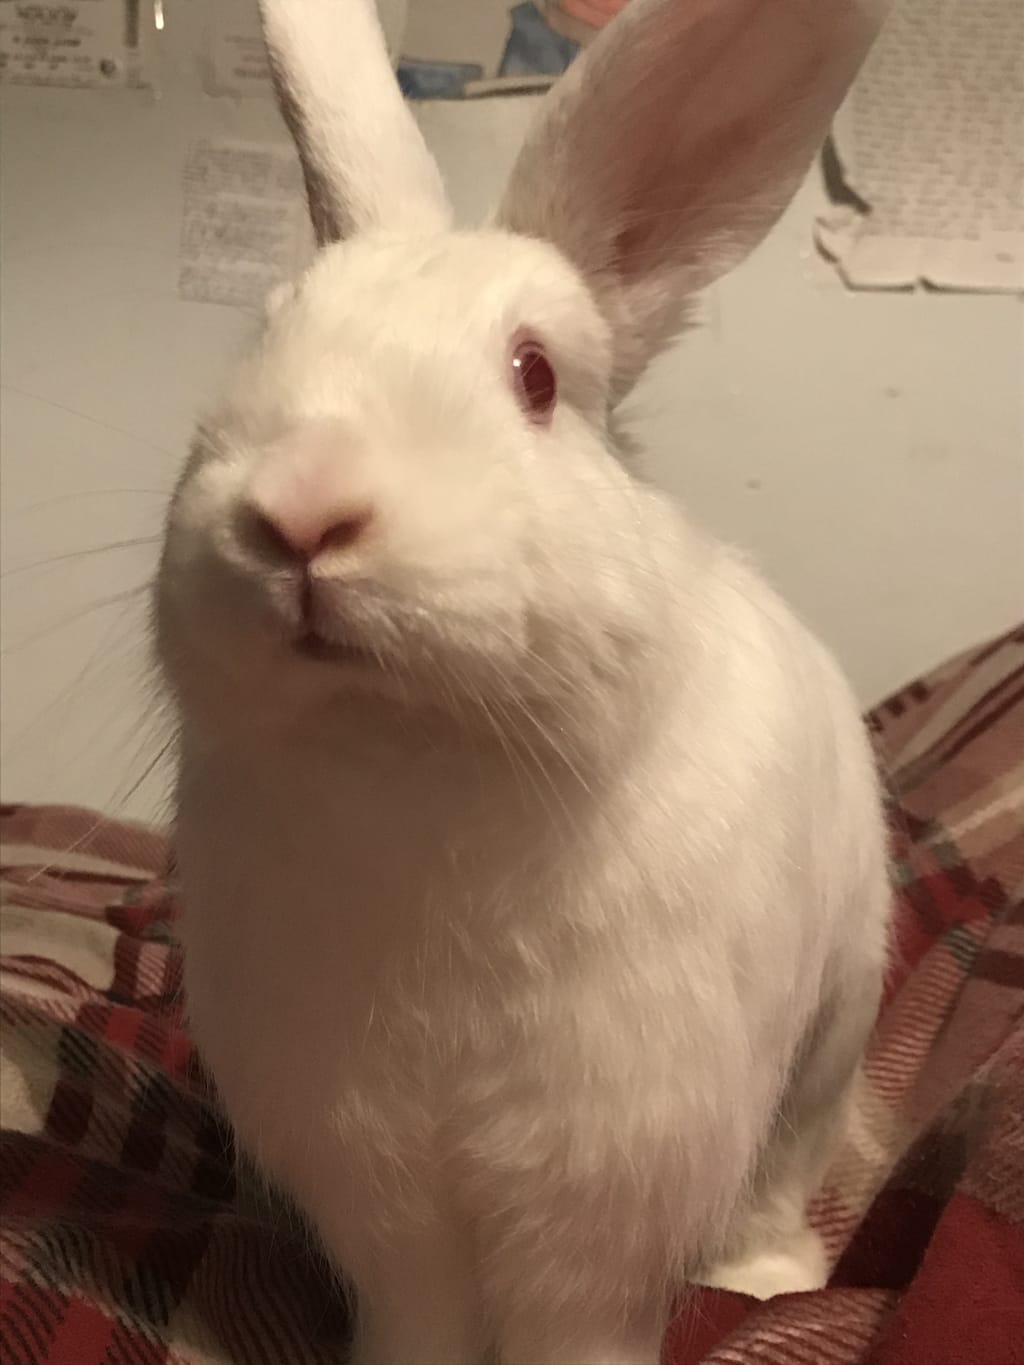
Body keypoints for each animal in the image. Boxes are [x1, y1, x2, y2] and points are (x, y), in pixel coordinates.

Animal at [155, 1, 892, 1362]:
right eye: (262, 339)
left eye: (535, 377)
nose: (299, 512)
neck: (414, 762)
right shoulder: (376, 1180)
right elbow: (416, 1314)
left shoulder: (603, 1185)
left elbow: (579, 1321)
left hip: (831, 1031)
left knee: (780, 1181)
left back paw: (769, 1280)